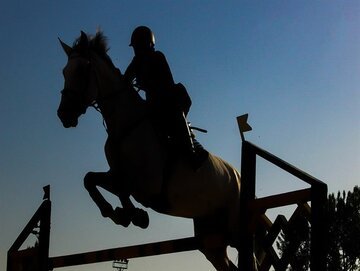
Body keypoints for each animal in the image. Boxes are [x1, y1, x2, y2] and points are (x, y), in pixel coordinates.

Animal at [57, 31, 242, 270]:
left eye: (82, 70)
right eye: (64, 72)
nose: (64, 114)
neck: (125, 127)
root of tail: (237, 175)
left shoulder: (146, 186)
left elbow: (122, 188)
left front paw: (133, 215)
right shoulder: (116, 175)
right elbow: (90, 179)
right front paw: (119, 214)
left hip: (234, 227)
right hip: (210, 238)